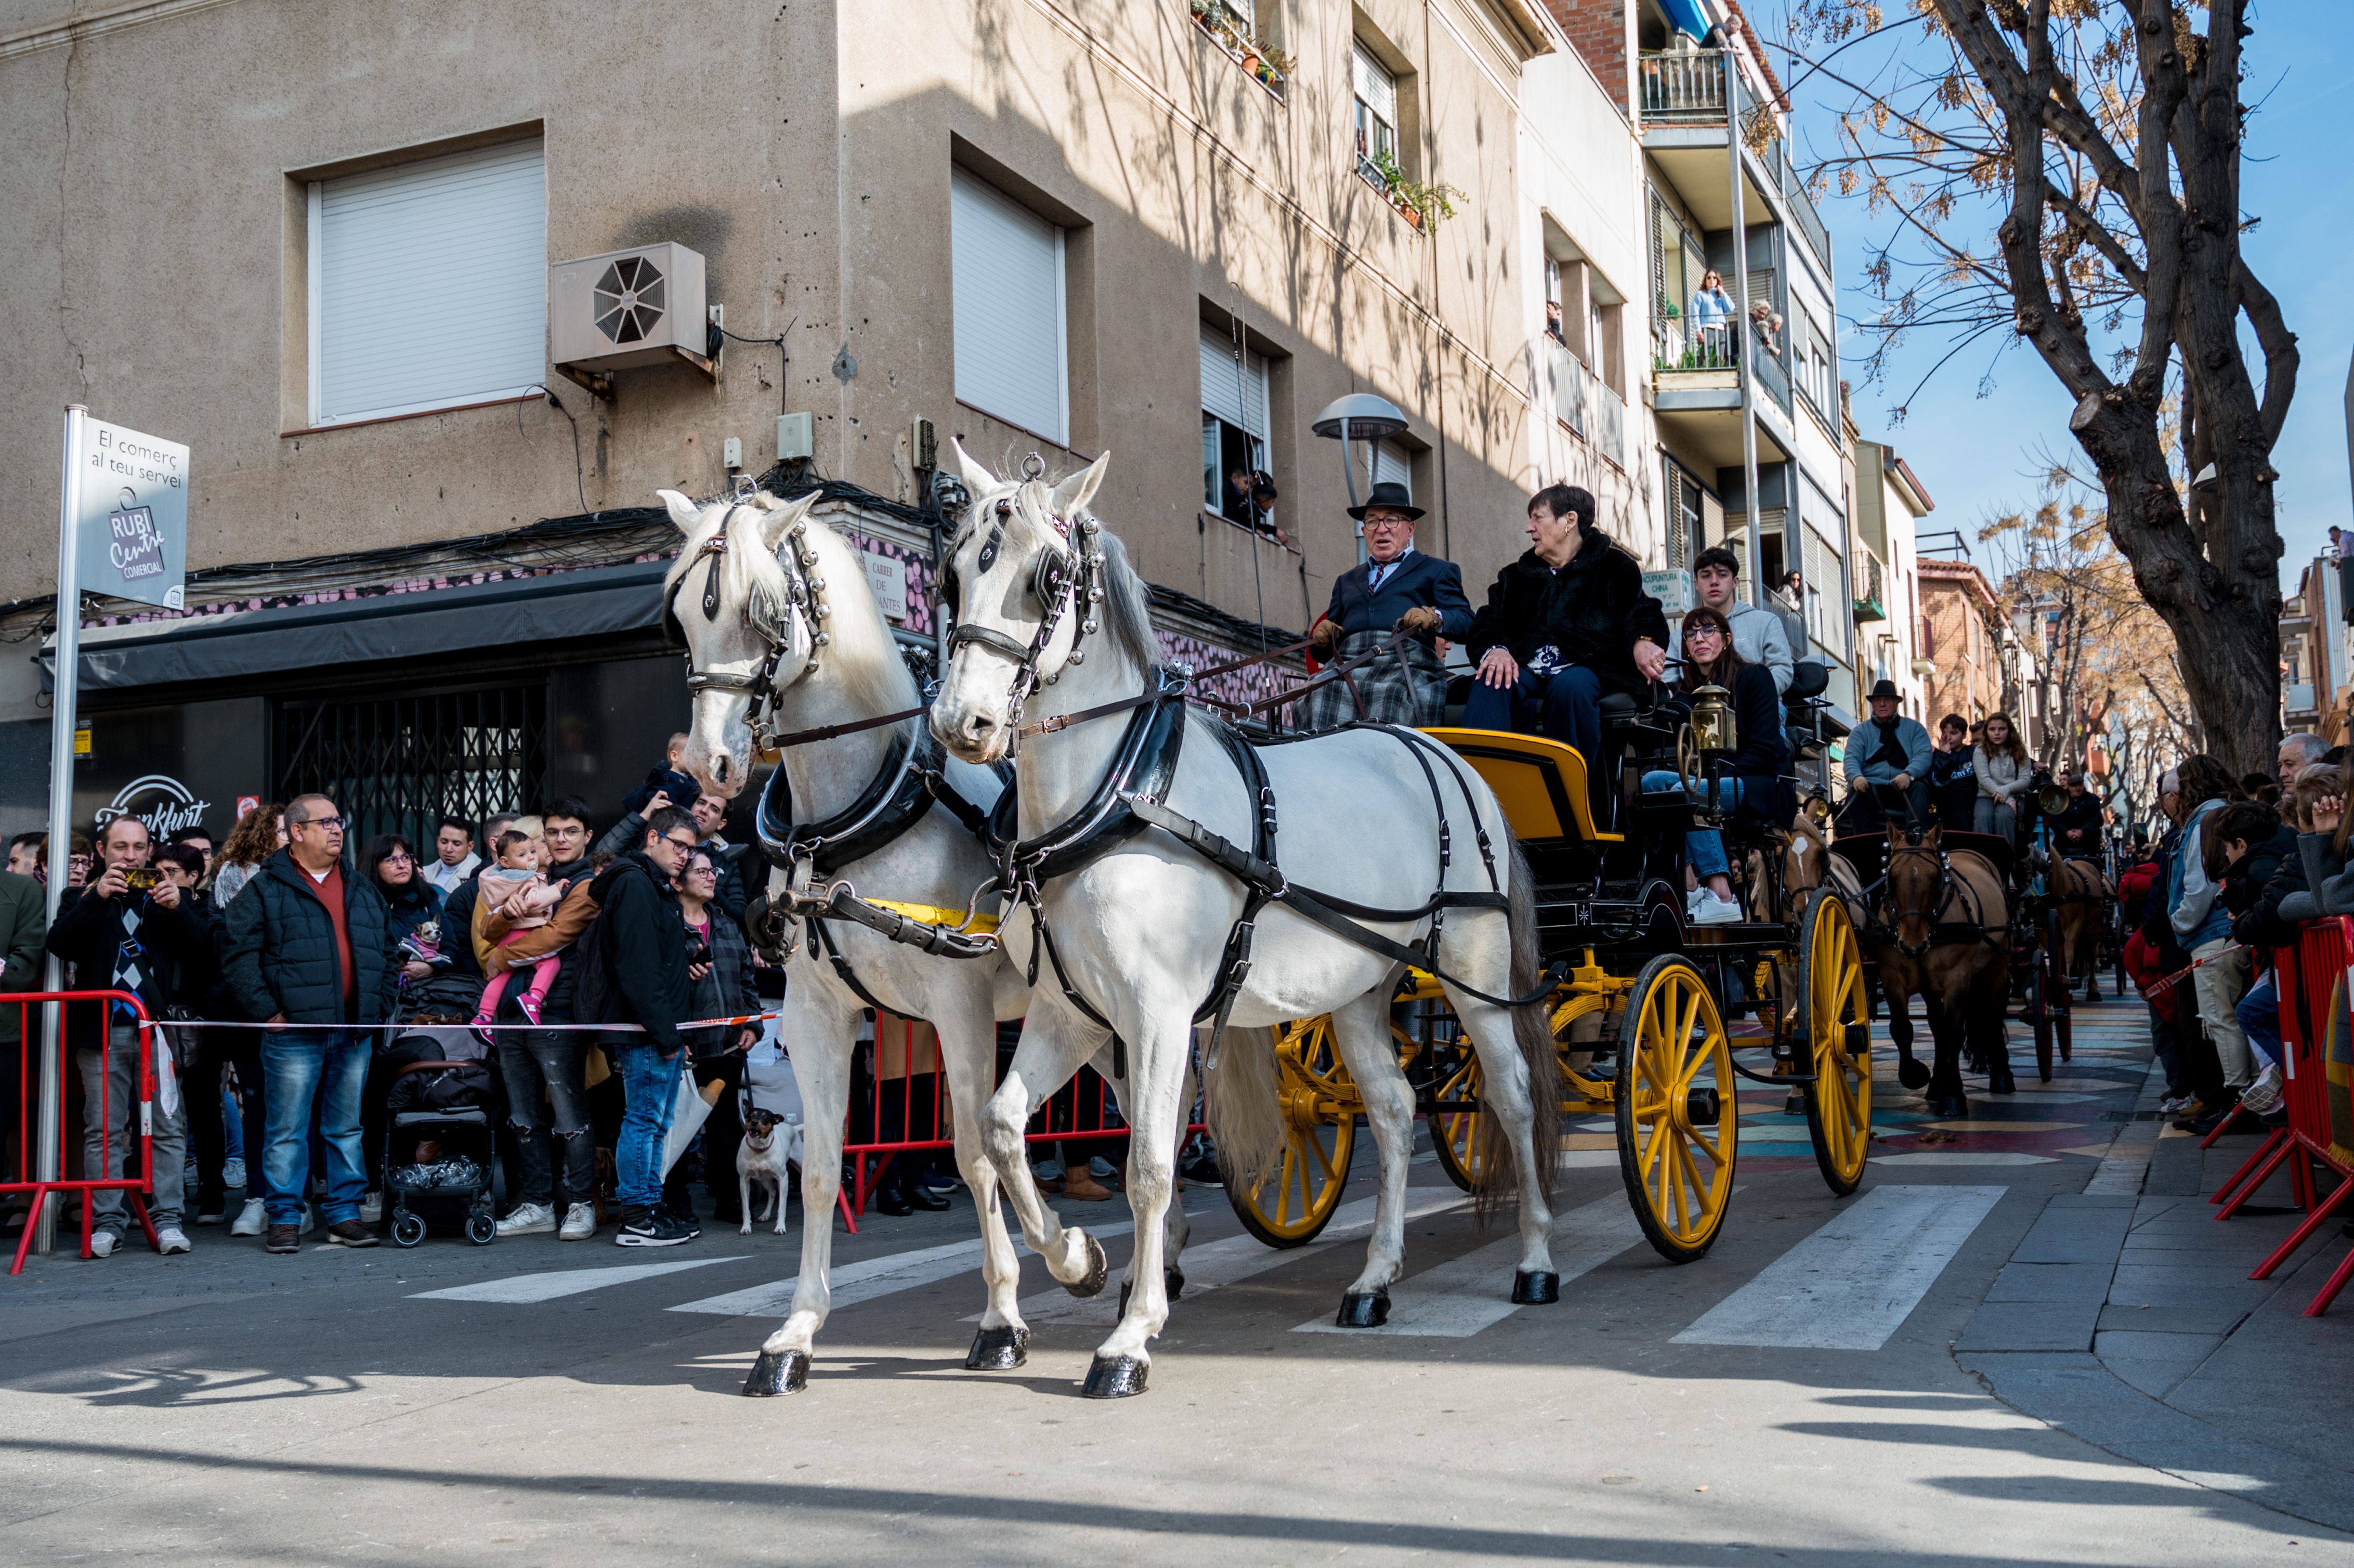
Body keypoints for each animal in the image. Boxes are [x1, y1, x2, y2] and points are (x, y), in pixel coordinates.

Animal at [739, 1097, 795, 1233]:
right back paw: (765, 1215)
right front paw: (746, 1227)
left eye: (766, 1118)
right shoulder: (744, 1180)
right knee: (773, 1193)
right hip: (764, 1180)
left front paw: (780, 1227)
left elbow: (782, 1207)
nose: (754, 1122)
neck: (759, 1150)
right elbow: (746, 1209)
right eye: (750, 1115)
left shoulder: (783, 1178)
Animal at [922, 445, 1563, 1393]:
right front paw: (1078, 1261)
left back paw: (1535, 1260)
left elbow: (1151, 1168)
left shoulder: (1158, 1015)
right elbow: (1003, 1130)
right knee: (1394, 1109)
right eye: (957, 568)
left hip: (1476, 977)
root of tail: (1443, 754)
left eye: (1048, 577)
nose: (960, 724)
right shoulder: (1073, 1013)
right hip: (1359, 990)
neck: (1119, 793)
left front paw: (1131, 1336)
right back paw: (1374, 1279)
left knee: (1513, 1098)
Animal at [1864, 819, 2015, 1111]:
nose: (1913, 945)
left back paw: (2002, 1075)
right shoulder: (1892, 979)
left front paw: (1954, 1095)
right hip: (1931, 987)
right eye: (1891, 877)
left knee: (1993, 1014)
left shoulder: (1957, 979)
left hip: (1997, 967)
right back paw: (1936, 1084)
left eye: (1936, 878)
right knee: (1936, 1026)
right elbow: (1902, 1029)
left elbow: (1954, 1033)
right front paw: (1916, 1075)